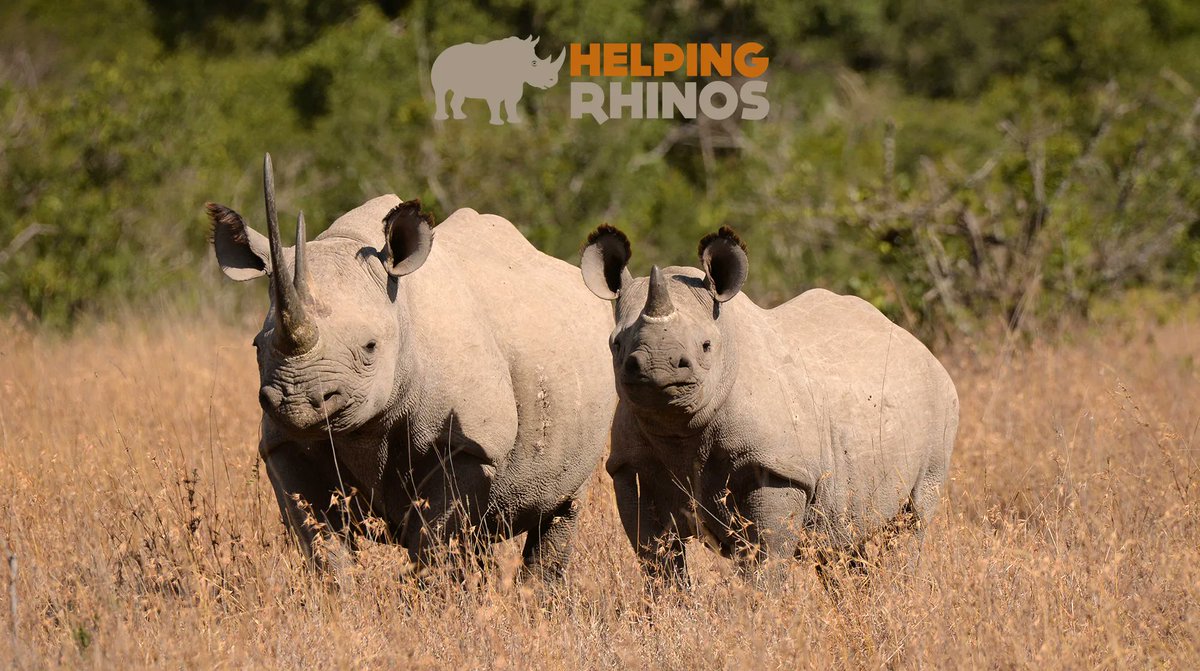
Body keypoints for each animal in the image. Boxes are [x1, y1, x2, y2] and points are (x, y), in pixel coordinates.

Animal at [206, 155, 615, 580]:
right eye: (257, 347)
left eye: (370, 347)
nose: (298, 403)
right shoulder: (283, 444)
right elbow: (322, 544)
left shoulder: (468, 446)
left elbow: (436, 546)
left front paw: (441, 594)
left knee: (562, 506)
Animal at [431, 35, 566, 125]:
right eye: (534, 63)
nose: (553, 80)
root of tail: (442, 52)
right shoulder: (493, 91)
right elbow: (495, 105)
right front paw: (497, 123)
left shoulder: (515, 85)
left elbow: (511, 104)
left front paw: (515, 121)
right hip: (440, 66)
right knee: (441, 91)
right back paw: (442, 117)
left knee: (460, 93)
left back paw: (461, 117)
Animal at [579, 225, 959, 585]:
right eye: (616, 344)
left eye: (705, 346)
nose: (657, 366)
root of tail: (924, 349)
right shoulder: (631, 466)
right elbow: (656, 559)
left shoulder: (778, 468)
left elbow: (764, 561)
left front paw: (756, 608)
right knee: (841, 542)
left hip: (942, 404)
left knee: (911, 522)